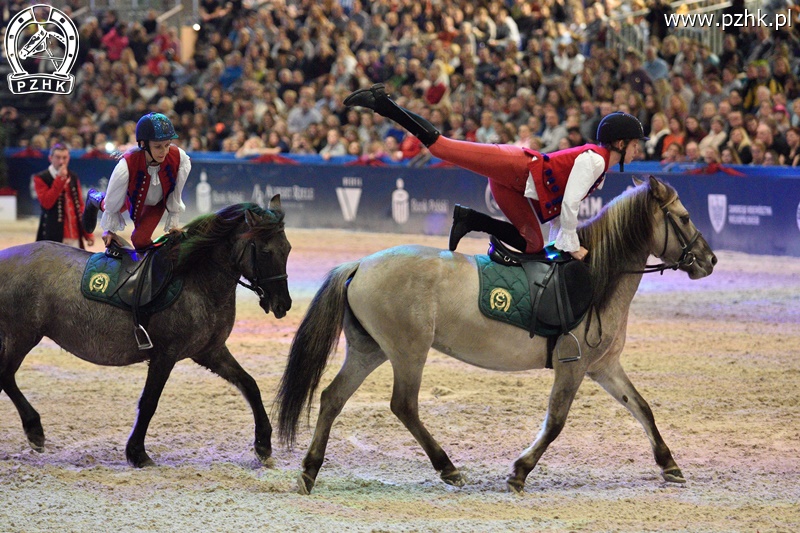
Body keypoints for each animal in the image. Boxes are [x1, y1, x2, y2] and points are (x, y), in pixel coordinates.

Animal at [0, 197, 292, 468]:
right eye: (265, 251)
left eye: (287, 249)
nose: (283, 304)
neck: (196, 280)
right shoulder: (165, 354)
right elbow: (150, 401)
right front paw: (137, 453)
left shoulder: (210, 351)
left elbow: (250, 385)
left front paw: (263, 444)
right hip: (21, 336)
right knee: (6, 376)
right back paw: (34, 430)